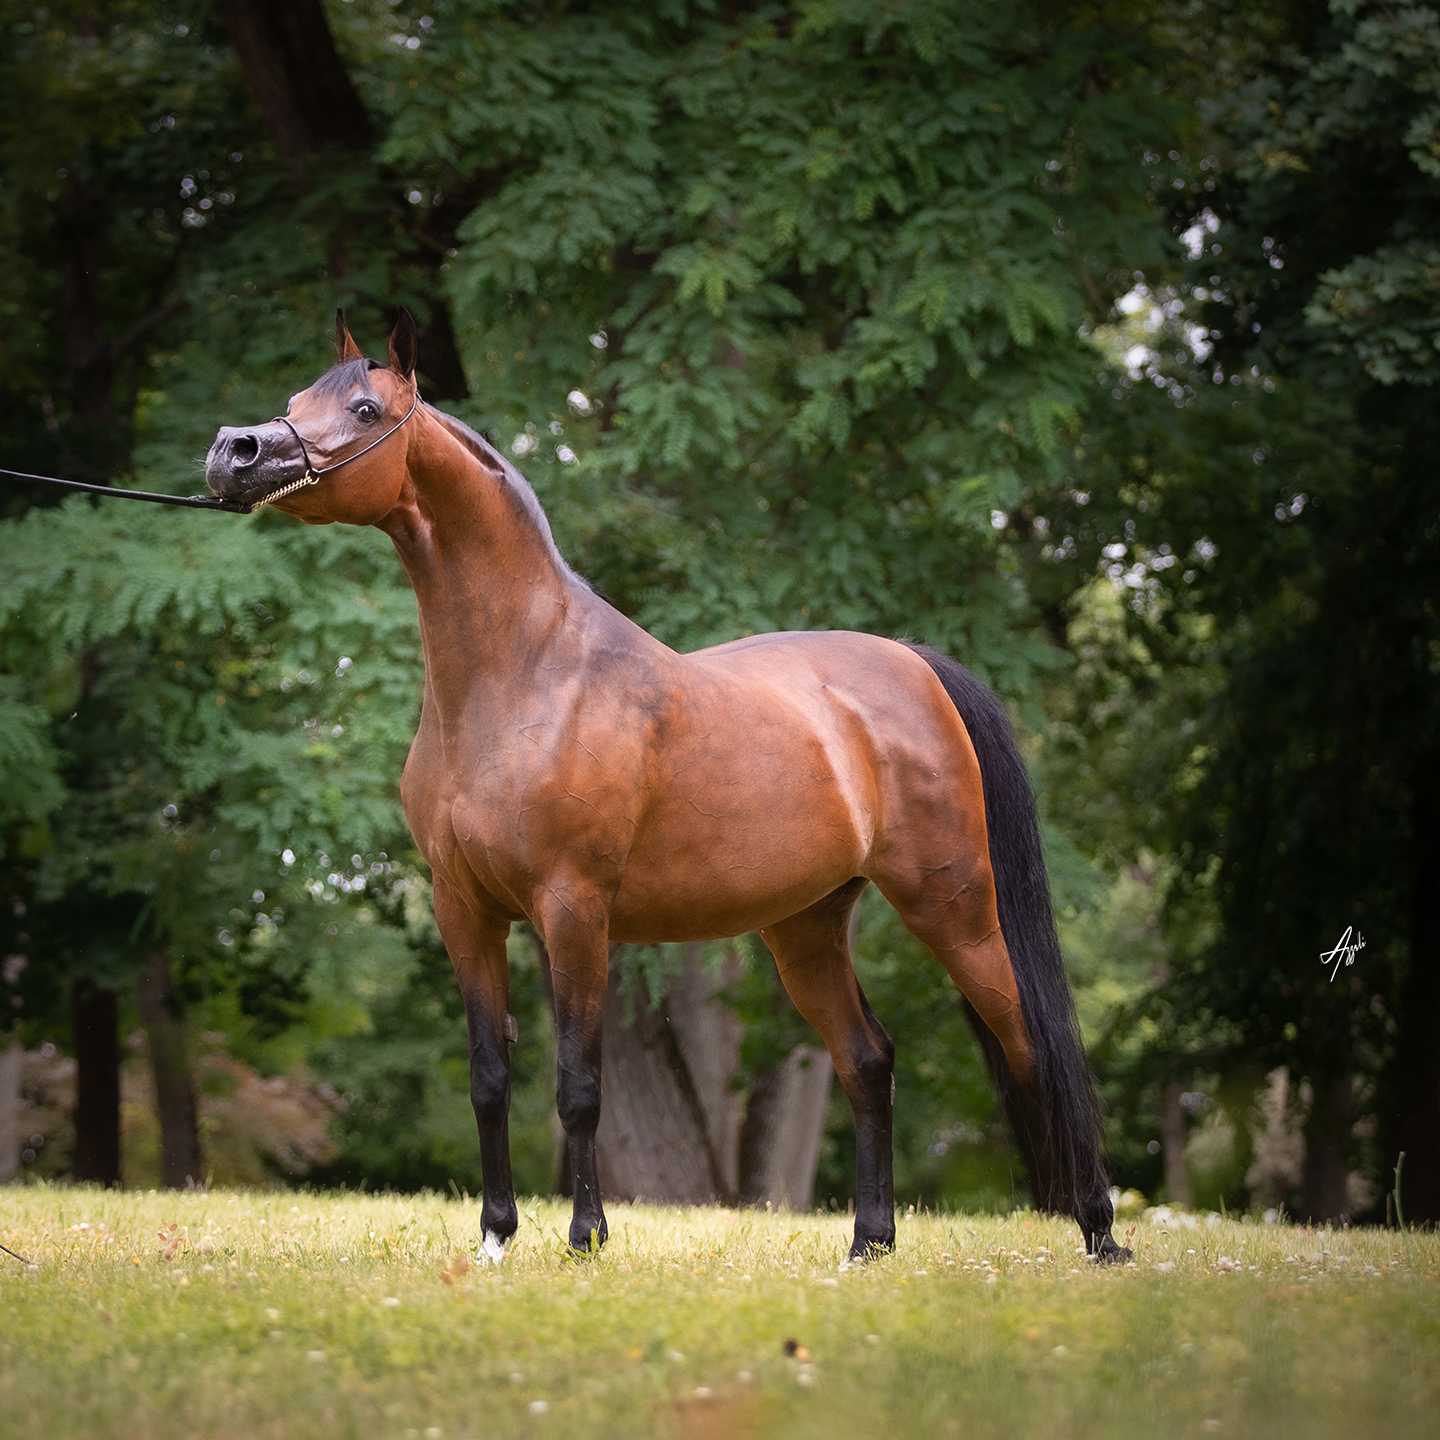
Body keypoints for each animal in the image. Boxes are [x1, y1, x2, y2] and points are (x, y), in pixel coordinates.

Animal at [205, 310, 1130, 1265]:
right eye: (294, 400)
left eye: (363, 407)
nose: (233, 452)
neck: (526, 678)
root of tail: (914, 666)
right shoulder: (464, 908)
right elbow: (490, 1077)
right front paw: (496, 1239)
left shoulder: (574, 909)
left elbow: (578, 1085)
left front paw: (585, 1238)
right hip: (807, 927)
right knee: (867, 1060)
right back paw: (867, 1246)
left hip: (953, 907)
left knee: (1031, 1046)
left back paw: (1100, 1233)